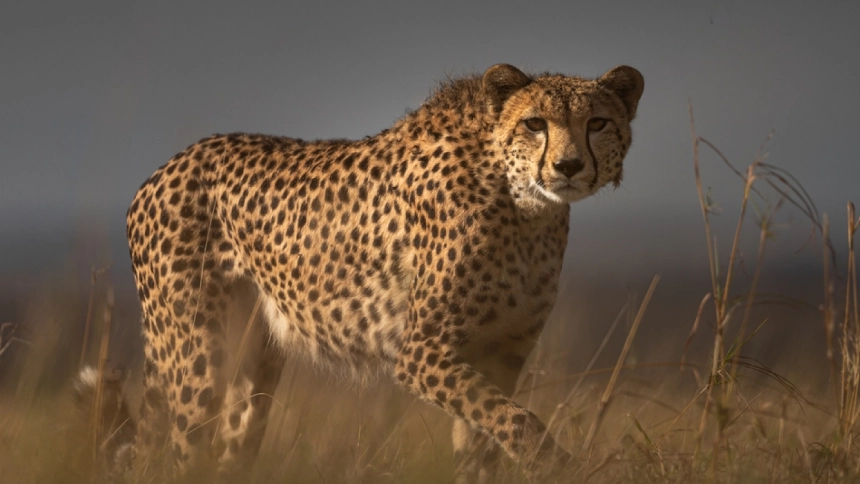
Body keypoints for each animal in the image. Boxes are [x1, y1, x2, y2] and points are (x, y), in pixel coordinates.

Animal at [83, 63, 643, 482]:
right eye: (534, 124)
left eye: (597, 123)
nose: (569, 166)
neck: (525, 206)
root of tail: (166, 168)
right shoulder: (423, 351)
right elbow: (519, 421)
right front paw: (560, 464)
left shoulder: (500, 352)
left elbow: (486, 438)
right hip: (196, 356)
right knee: (173, 456)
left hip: (254, 364)